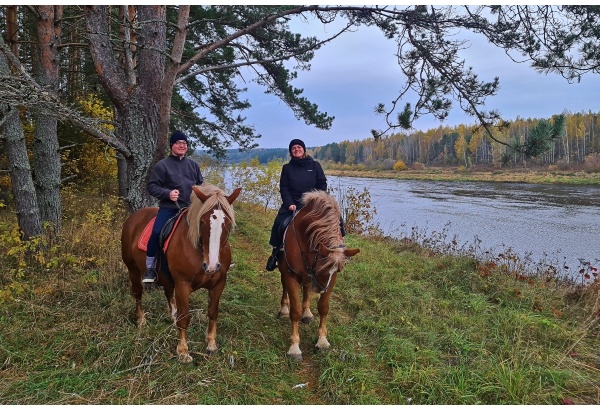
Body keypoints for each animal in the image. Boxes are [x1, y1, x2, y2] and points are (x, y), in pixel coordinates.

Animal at [120, 184, 243, 364]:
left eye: (226, 223)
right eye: (202, 222)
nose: (212, 265)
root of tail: (133, 217)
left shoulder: (219, 283)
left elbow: (213, 312)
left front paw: (211, 343)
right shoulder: (183, 284)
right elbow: (184, 318)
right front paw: (183, 351)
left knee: (168, 292)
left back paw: (172, 316)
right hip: (133, 269)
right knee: (138, 294)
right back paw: (141, 320)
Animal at [276, 191, 360, 360]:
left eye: (337, 271)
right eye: (322, 268)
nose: (320, 289)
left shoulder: (330, 280)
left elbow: (323, 307)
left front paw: (322, 340)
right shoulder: (291, 275)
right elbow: (295, 311)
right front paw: (294, 347)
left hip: (307, 276)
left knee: (306, 288)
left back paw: (307, 313)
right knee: (285, 286)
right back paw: (284, 308)